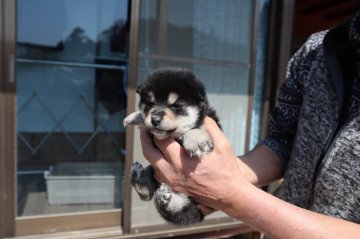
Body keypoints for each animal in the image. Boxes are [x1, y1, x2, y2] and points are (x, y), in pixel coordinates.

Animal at [124, 67, 219, 226]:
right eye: (150, 103)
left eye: (175, 106)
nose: (155, 119)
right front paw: (134, 117)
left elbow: (196, 126)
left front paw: (196, 140)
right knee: (148, 193)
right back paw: (139, 178)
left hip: (193, 207)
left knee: (181, 212)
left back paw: (164, 200)